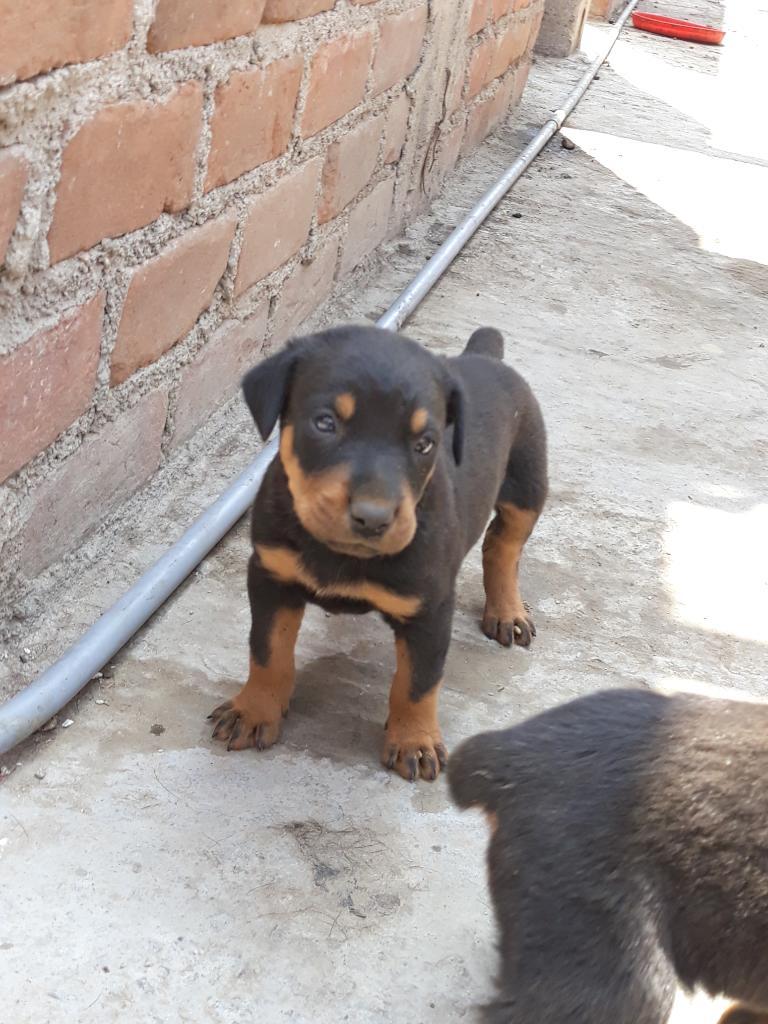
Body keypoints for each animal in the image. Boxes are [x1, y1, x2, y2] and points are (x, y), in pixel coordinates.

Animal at [207, 323, 548, 778]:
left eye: (425, 443)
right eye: (325, 423)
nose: (373, 518)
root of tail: (485, 356)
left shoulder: (430, 608)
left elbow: (418, 682)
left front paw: (414, 741)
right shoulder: (271, 575)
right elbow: (267, 651)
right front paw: (254, 710)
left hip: (529, 483)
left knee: (504, 545)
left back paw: (507, 610)